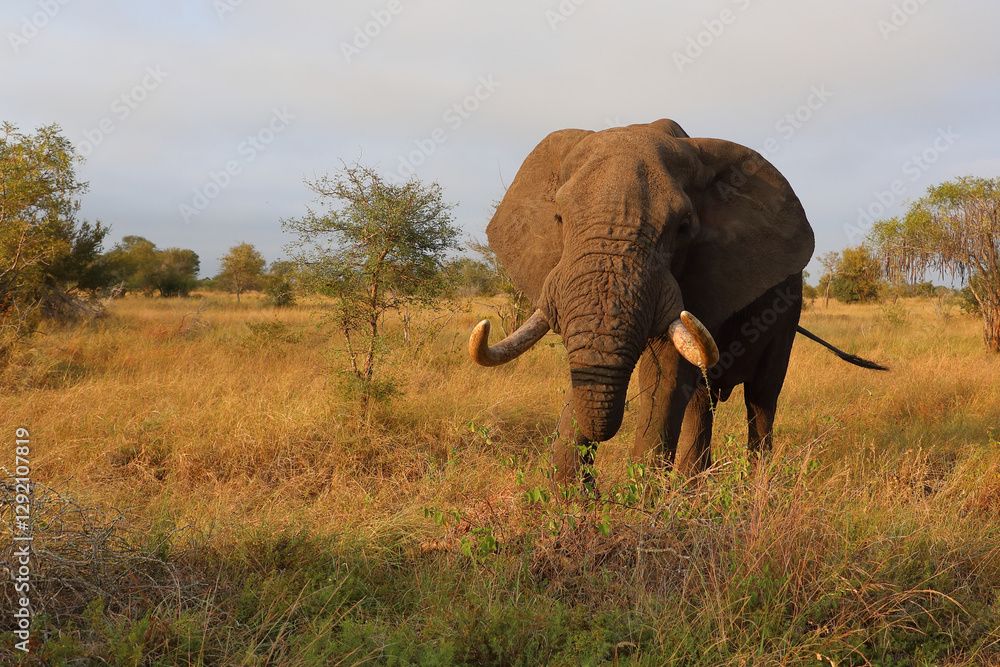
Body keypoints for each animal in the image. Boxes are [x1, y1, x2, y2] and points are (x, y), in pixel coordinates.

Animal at [469, 119, 886, 484]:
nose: (593, 489)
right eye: (558, 218)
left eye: (683, 227)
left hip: (787, 311)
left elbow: (665, 373)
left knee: (761, 399)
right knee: (703, 401)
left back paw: (753, 493)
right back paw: (690, 489)